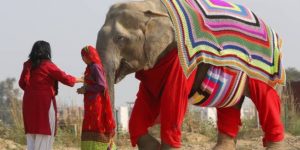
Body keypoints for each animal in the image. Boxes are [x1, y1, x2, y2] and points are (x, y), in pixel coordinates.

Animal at [95, 0, 284, 149]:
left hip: (266, 70)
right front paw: (155, 146)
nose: (110, 144)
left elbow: (173, 97)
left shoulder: (179, 58)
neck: (150, 7)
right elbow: (144, 99)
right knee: (230, 107)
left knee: (267, 100)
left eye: (120, 39)